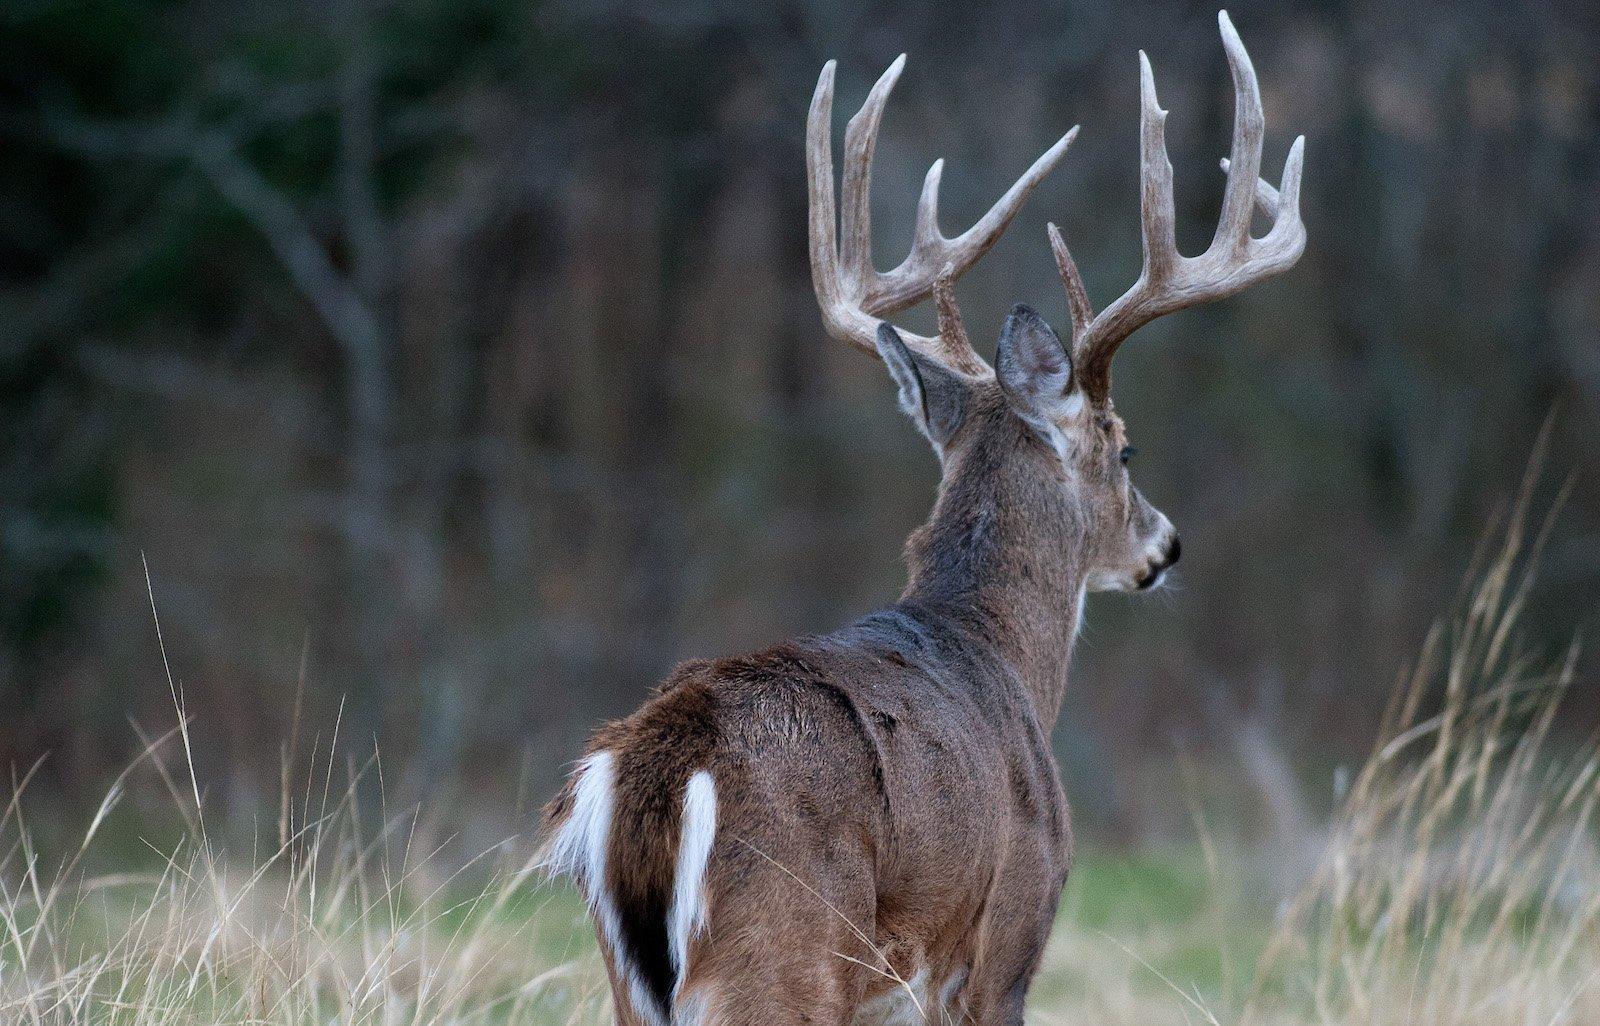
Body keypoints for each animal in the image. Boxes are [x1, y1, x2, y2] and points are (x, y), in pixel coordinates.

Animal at [544, 10, 1305, 1024]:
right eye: (1125, 447)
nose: (1166, 543)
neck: (1001, 656)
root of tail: (652, 776)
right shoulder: (1007, 937)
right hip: (782, 956)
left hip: (633, 981)